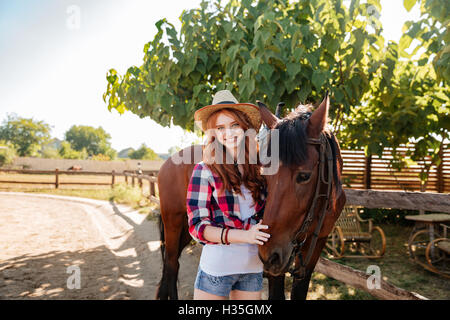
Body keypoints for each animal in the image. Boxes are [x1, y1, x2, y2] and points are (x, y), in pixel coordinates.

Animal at [155, 93, 344, 300]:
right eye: (265, 175)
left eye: (304, 176)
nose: (269, 255)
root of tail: (168, 162)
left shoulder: (314, 248)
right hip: (172, 222)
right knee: (171, 264)